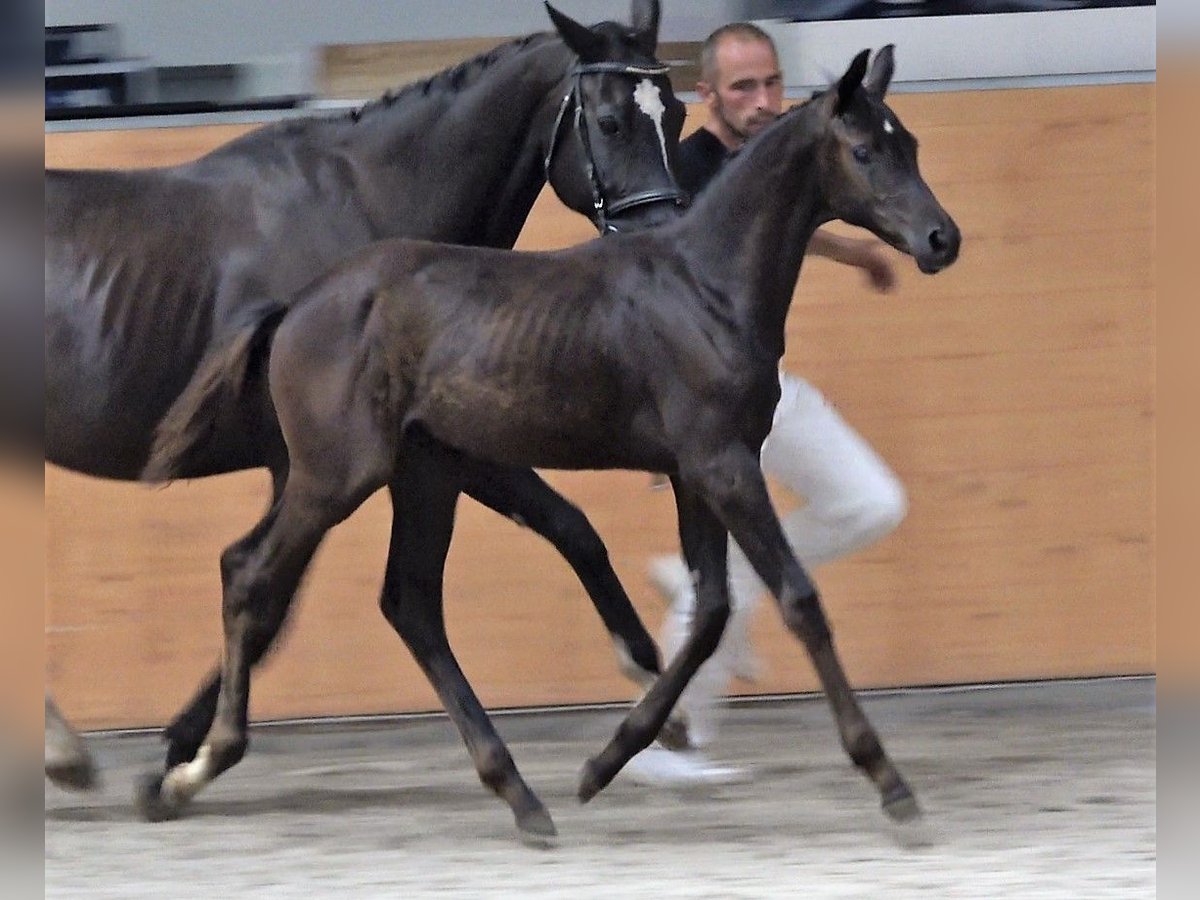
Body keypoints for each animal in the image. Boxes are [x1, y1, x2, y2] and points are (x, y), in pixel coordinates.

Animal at [44, 0, 686, 787]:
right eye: (610, 121)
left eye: (677, 113)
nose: (664, 236)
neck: (369, 207)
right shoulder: (334, 459)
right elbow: (269, 593)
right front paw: (185, 752)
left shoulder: (407, 447)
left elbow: (572, 528)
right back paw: (66, 753)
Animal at [145, 47, 960, 840]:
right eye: (864, 150)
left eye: (912, 145)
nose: (941, 239)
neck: (705, 284)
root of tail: (297, 305)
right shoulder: (723, 465)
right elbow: (796, 599)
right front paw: (890, 784)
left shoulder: (698, 470)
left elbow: (711, 611)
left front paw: (605, 763)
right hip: (335, 474)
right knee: (252, 574)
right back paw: (196, 767)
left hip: (425, 471)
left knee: (408, 601)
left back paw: (520, 794)